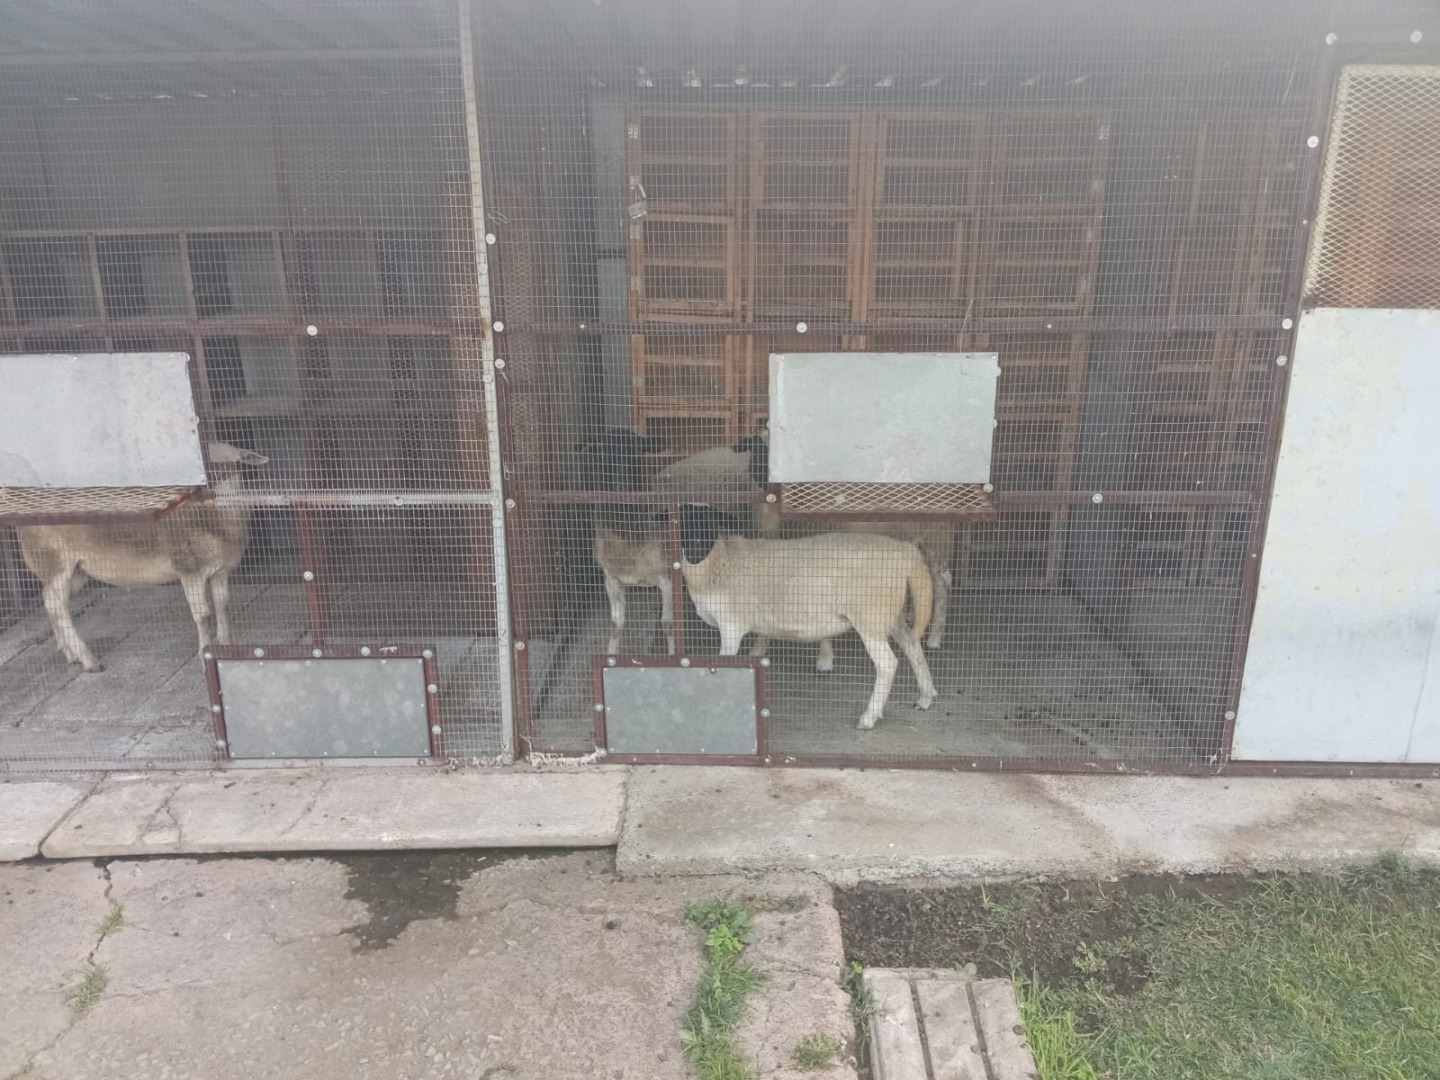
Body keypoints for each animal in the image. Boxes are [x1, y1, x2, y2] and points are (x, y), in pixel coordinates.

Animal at [16, 441, 269, 672]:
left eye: (230, 465)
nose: (210, 492)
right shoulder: (189, 570)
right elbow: (204, 615)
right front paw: (204, 654)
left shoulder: (221, 570)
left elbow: (222, 605)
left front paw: (226, 646)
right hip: (55, 562)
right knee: (56, 606)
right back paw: (89, 660)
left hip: (73, 571)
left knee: (51, 602)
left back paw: (70, 653)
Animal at [679, 503, 937, 730]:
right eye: (683, 524)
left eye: (710, 525)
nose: (694, 552)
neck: (718, 562)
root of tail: (905, 552)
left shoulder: (731, 623)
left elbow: (723, 664)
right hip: (890, 614)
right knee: (912, 646)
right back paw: (925, 697)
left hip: (870, 615)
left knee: (887, 663)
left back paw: (868, 718)